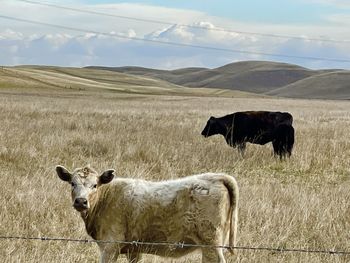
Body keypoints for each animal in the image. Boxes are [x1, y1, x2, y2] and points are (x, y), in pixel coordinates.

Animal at [56, 166, 239, 262]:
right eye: (72, 183)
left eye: (95, 185)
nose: (81, 201)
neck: (106, 198)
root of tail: (216, 176)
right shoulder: (134, 249)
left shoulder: (110, 246)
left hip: (211, 244)